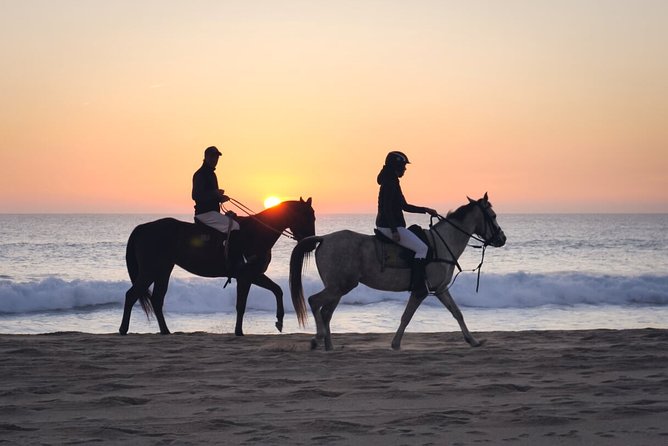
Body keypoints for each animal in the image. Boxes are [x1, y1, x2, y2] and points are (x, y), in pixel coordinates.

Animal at [118, 197, 314, 336]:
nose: (310, 244)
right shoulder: (245, 277)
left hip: (163, 271)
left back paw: (165, 331)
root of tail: (143, 228)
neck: (256, 233)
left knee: (157, 299)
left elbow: (277, 290)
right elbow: (241, 304)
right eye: (306, 216)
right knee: (131, 295)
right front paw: (239, 332)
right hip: (150, 271)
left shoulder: (254, 275)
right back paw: (123, 329)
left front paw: (279, 321)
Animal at [288, 193, 506, 350]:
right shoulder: (421, 291)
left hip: (338, 288)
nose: (502, 238)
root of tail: (324, 238)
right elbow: (406, 316)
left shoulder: (441, 289)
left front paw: (473, 341)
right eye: (493, 216)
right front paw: (395, 344)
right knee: (315, 302)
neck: (441, 243)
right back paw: (317, 339)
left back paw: (329, 346)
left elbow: (457, 313)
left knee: (326, 312)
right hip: (340, 287)